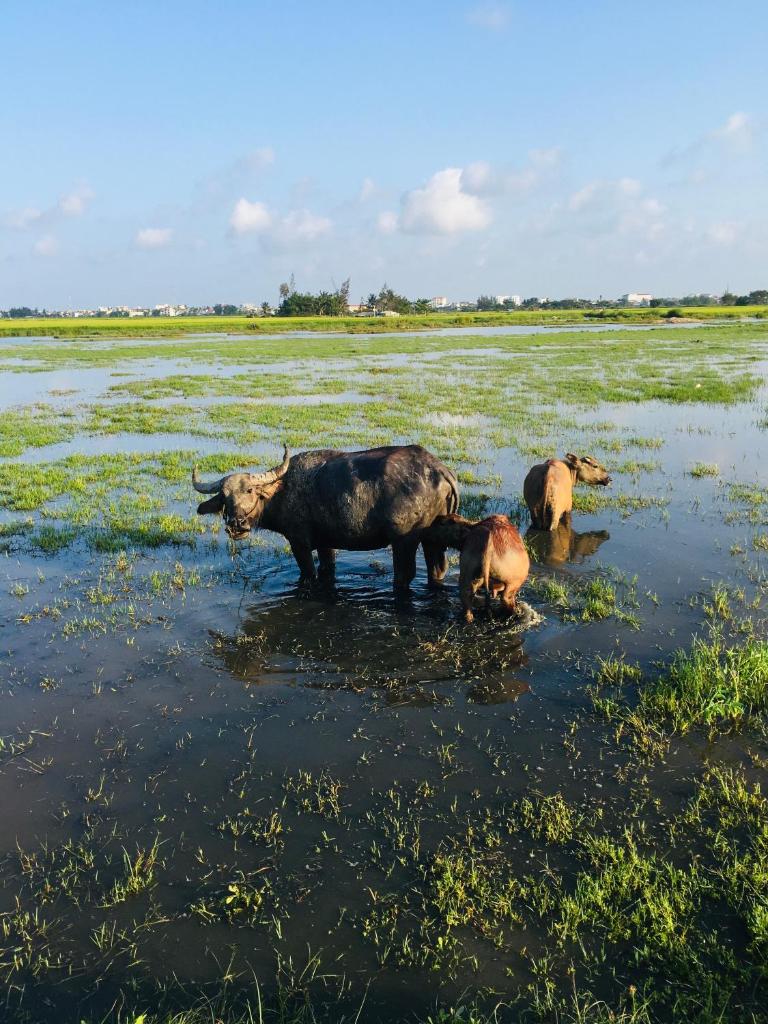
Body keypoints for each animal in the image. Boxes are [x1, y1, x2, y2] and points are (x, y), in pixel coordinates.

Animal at [191, 442, 460, 593]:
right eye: (224, 497)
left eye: (250, 491)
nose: (237, 524)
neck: (283, 491)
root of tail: (439, 469)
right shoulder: (325, 543)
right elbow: (327, 568)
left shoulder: (299, 543)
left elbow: (308, 573)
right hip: (432, 539)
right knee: (437, 569)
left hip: (404, 541)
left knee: (405, 575)